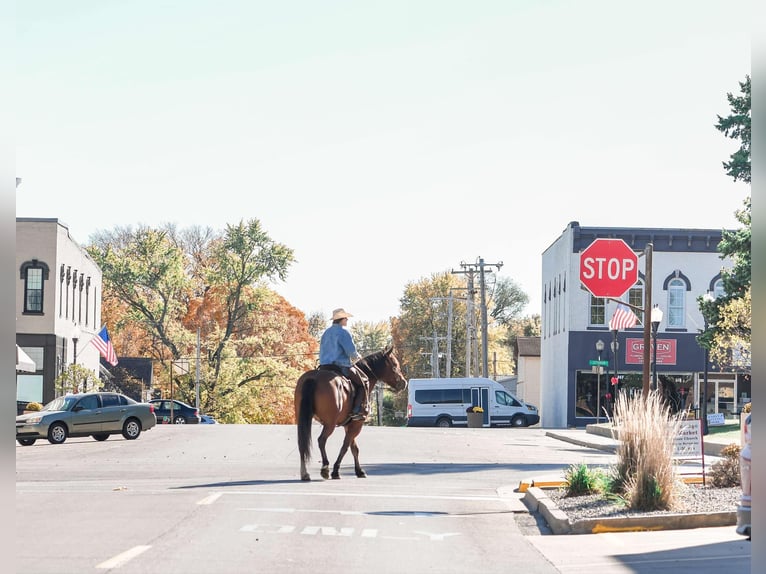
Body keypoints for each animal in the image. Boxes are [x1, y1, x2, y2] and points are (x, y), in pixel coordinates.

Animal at [296, 346, 412, 482]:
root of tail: (314, 377)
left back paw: (305, 473)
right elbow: (346, 446)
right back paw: (325, 468)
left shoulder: (349, 425)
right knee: (321, 440)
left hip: (303, 420)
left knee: (302, 443)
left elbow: (354, 448)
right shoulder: (357, 424)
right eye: (395, 365)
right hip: (330, 424)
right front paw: (336, 471)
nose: (404, 383)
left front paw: (359, 471)